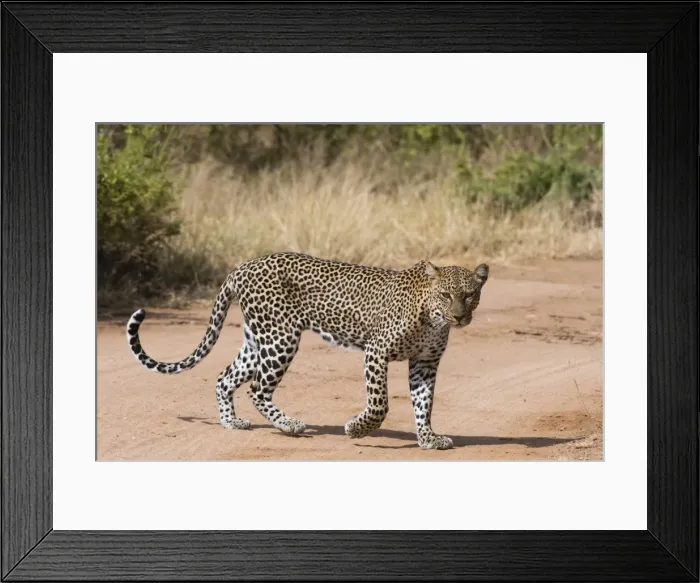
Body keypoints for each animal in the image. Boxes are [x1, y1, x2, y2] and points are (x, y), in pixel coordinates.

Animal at [126, 252, 489, 450]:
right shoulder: (376, 352)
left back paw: (232, 423)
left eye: (470, 295)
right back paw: (290, 425)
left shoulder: (425, 363)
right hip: (281, 338)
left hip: (258, 339)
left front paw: (428, 439)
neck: (432, 318)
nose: (459, 316)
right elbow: (379, 404)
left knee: (225, 377)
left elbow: (423, 405)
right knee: (257, 388)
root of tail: (242, 267)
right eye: (446, 295)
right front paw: (356, 428)